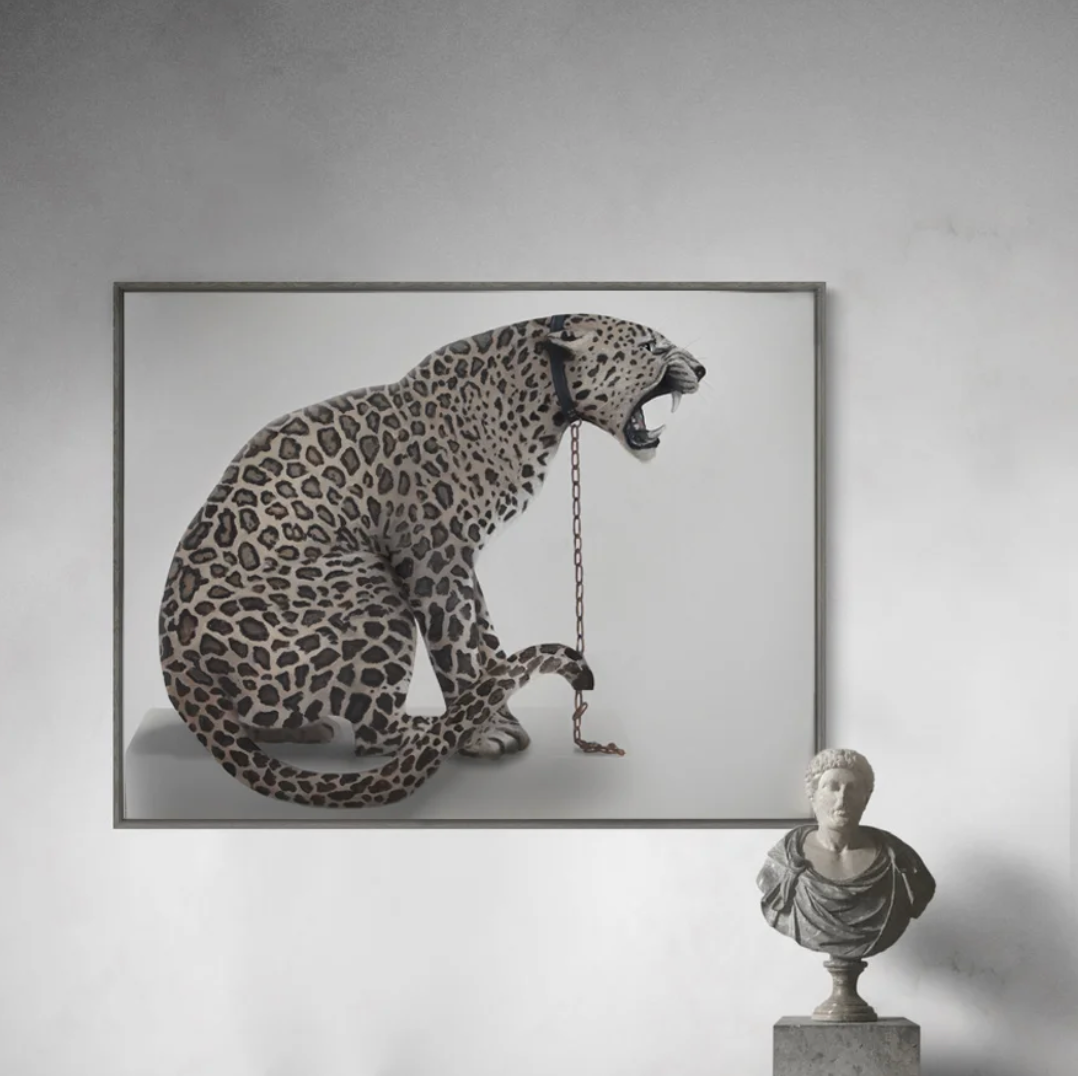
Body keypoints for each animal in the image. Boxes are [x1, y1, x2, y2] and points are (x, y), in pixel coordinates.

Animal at [158, 312, 706, 808]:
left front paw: (497, 710)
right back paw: (424, 732)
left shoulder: (462, 557)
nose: (701, 369)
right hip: (371, 586)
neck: (540, 394)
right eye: (653, 347)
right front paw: (480, 734)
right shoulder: (434, 554)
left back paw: (312, 729)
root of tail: (179, 670)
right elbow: (457, 646)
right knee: (373, 735)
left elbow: (483, 635)